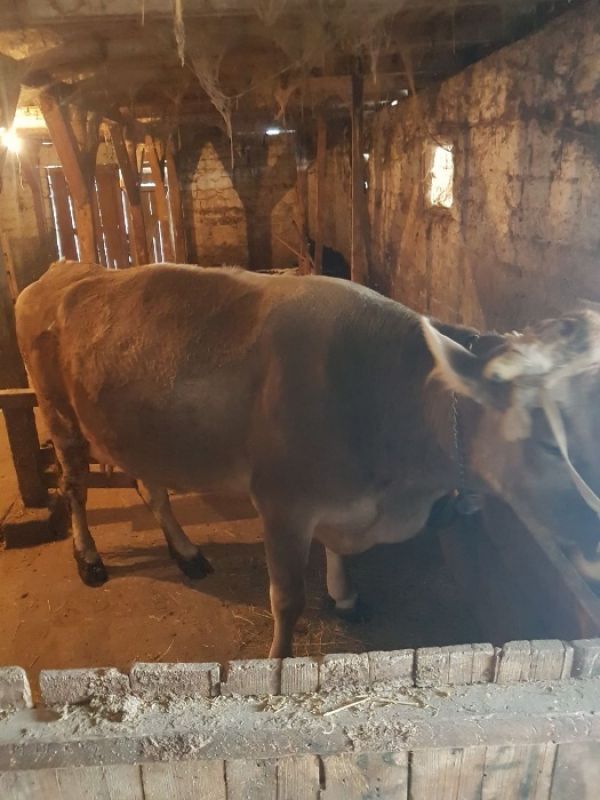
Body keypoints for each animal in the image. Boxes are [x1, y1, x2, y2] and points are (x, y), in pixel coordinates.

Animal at [15, 260, 600, 658]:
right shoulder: (281, 502)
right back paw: (89, 558)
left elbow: (338, 556)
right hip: (59, 416)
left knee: (151, 485)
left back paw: (186, 552)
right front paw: (279, 659)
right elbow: (288, 599)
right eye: (548, 443)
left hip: (139, 429)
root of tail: (64, 268)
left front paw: (345, 597)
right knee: (74, 489)